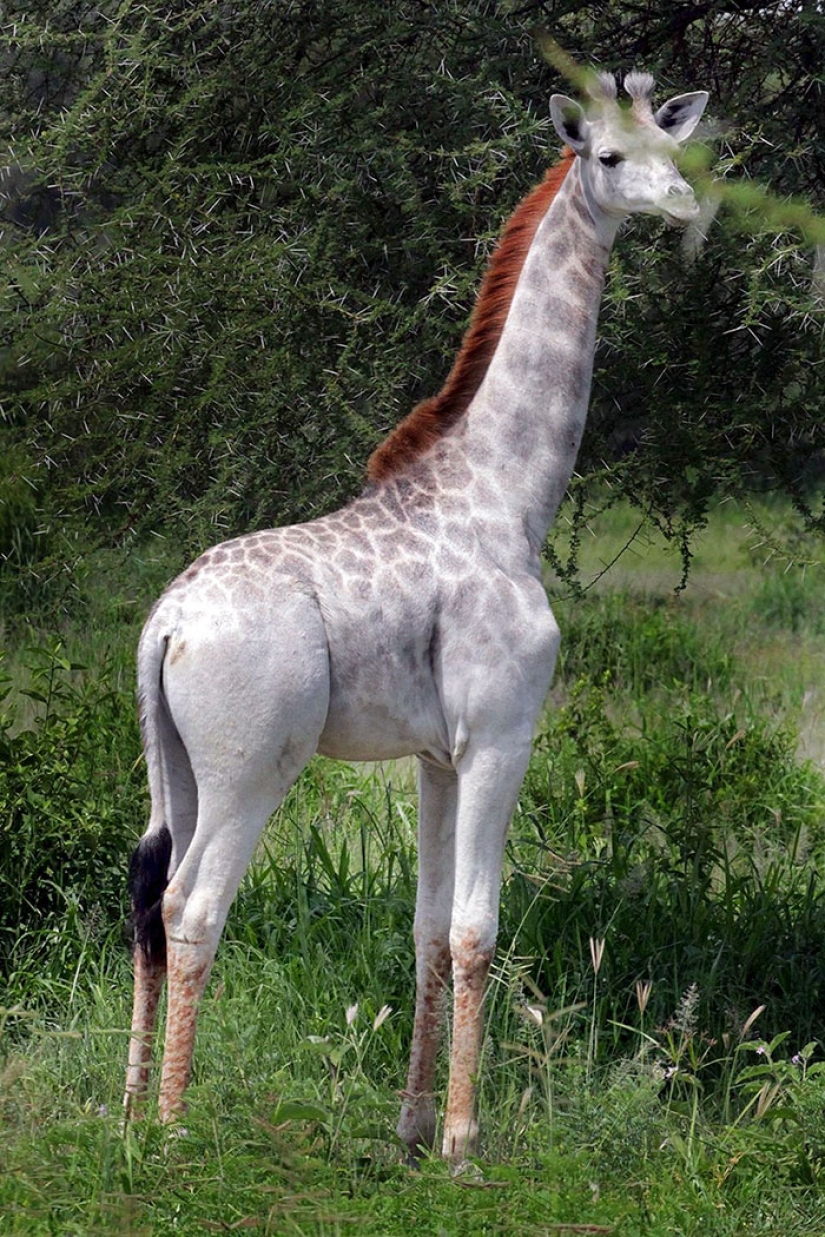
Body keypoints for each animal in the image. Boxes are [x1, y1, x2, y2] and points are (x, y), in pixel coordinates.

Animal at [124, 71, 708, 1165]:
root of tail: (166, 623)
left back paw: (131, 1106)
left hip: (171, 759)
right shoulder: (500, 735)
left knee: (149, 890)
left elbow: (428, 929)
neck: (511, 496)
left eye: (671, 141)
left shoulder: (437, 754)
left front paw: (409, 1127)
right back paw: (174, 1132)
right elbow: (479, 928)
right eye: (608, 156)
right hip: (250, 764)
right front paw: (465, 1142)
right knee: (195, 904)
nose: (684, 202)